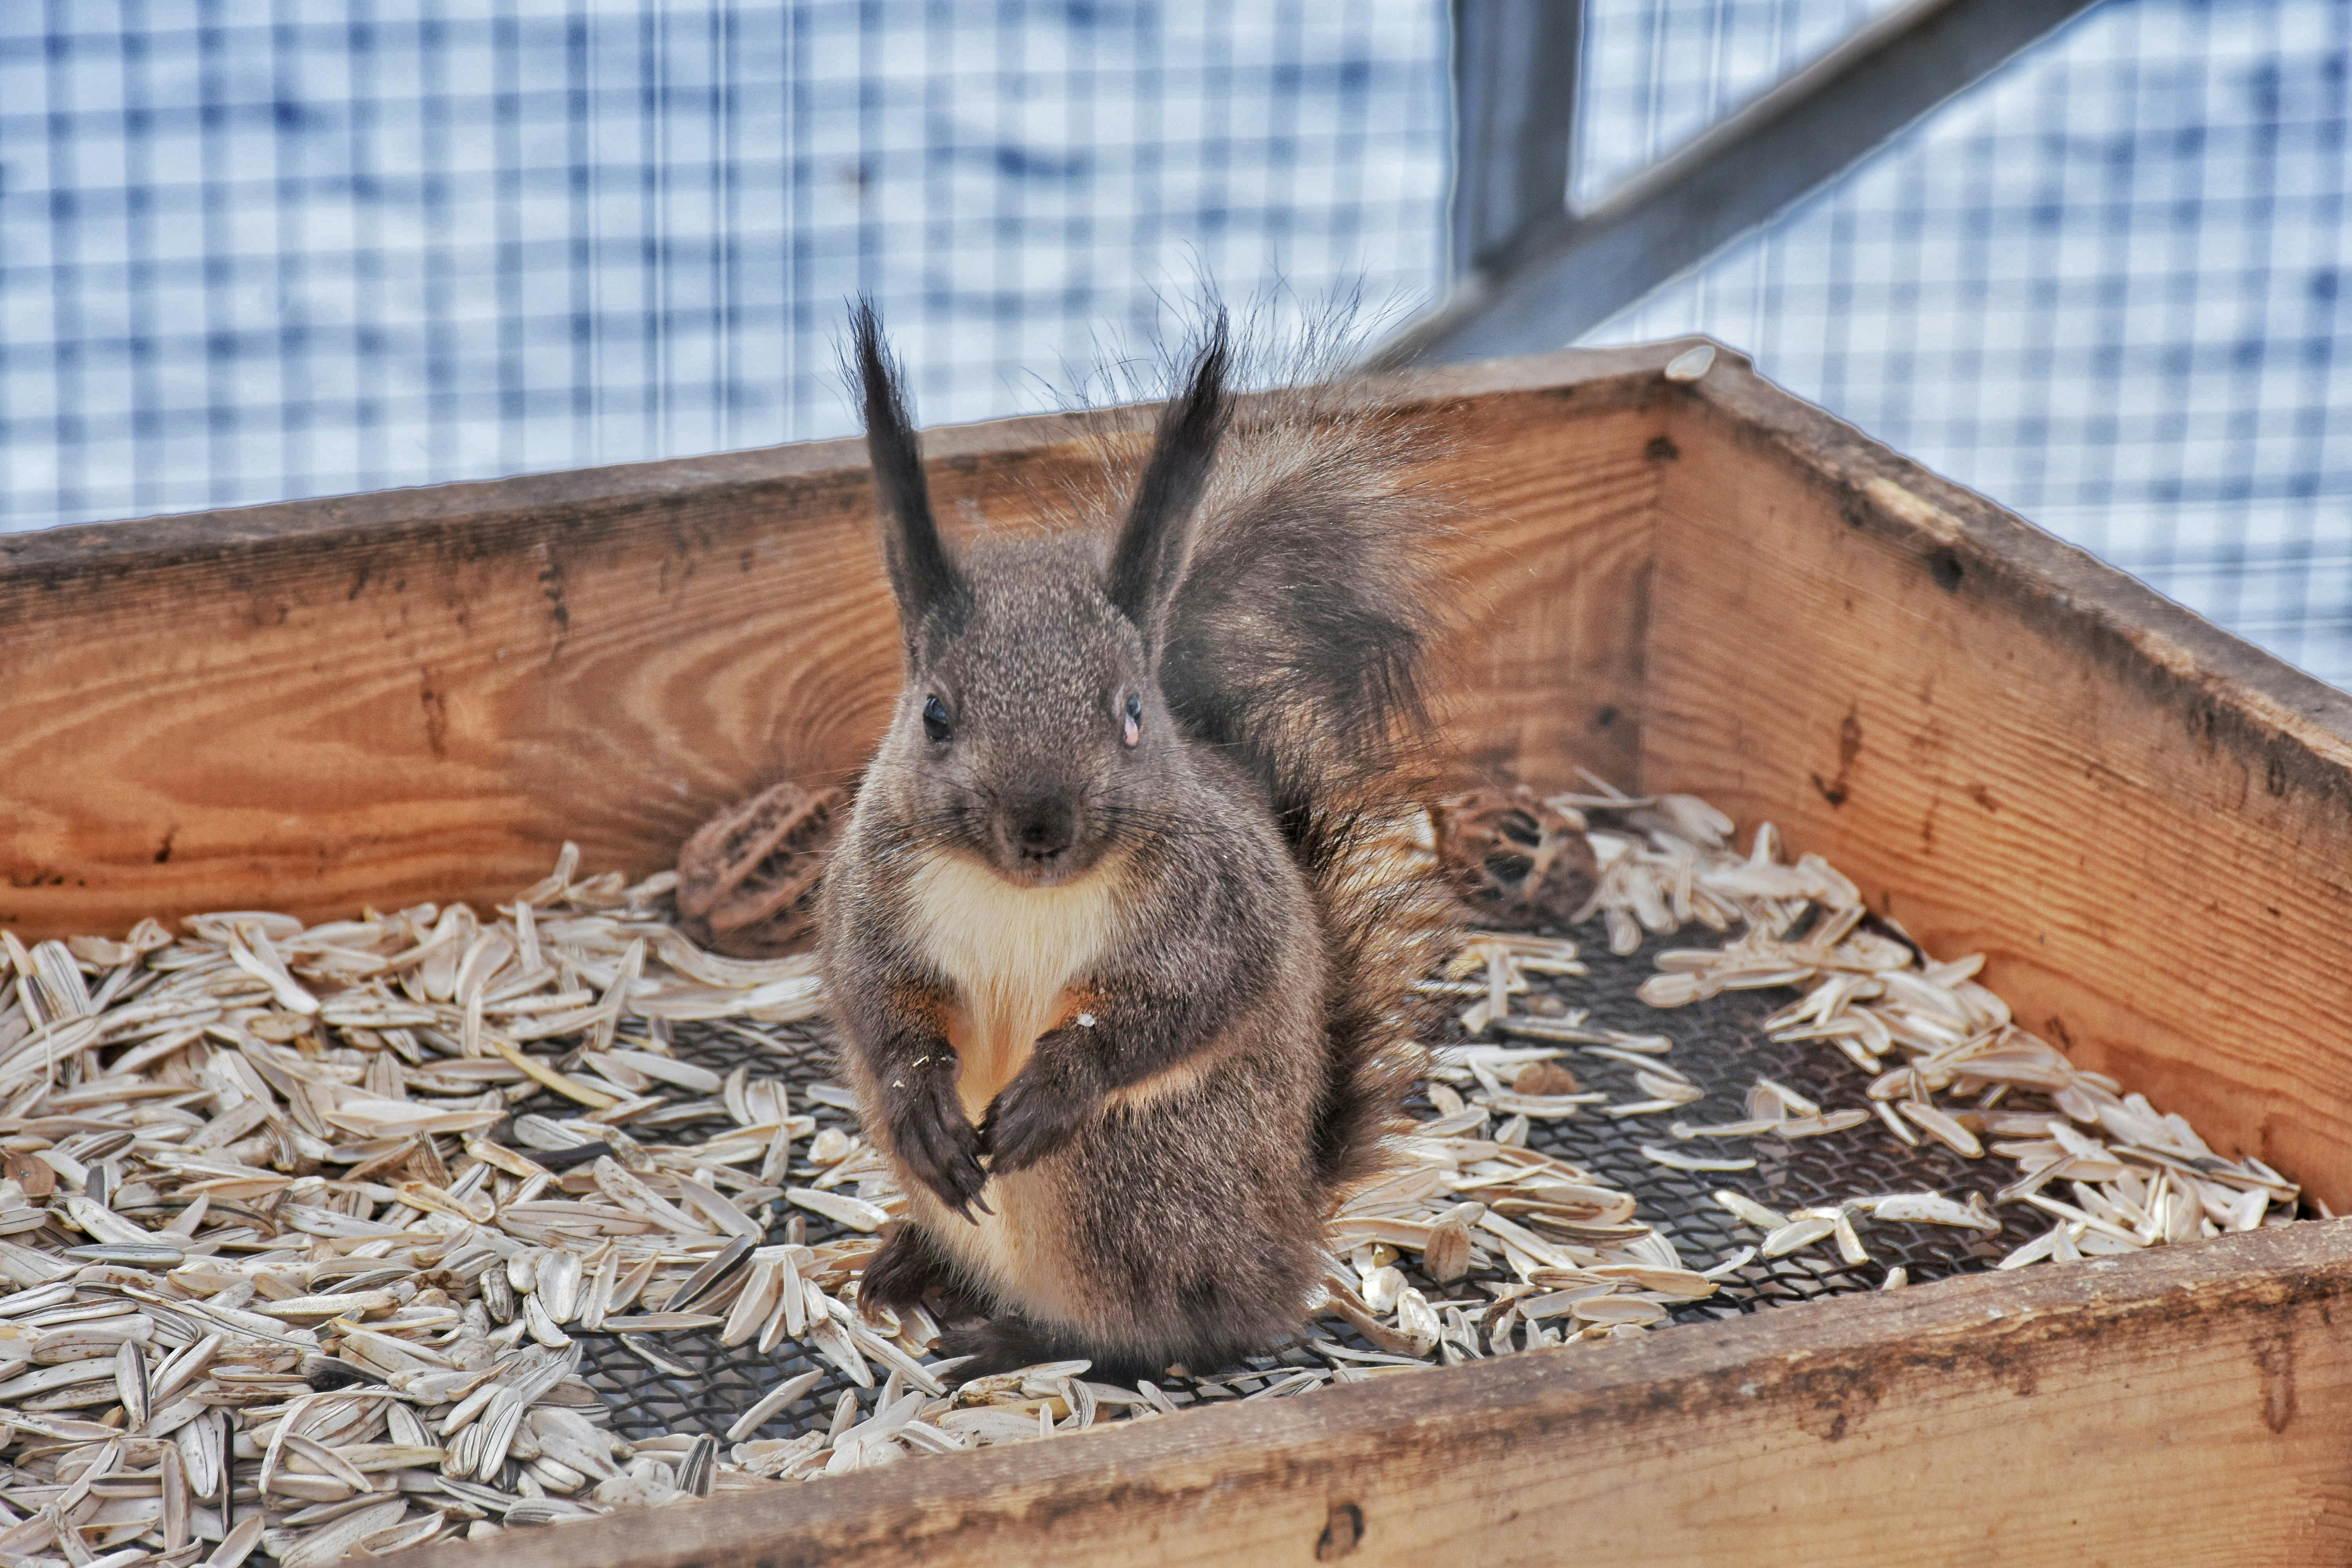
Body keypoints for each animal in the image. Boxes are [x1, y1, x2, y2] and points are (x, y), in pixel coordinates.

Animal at [823, 301, 1449, 1382]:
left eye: (1131, 710)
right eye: (935, 714)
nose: (1041, 827)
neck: (1021, 897)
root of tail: (1288, 1239)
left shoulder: (1220, 907)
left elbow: (1189, 1001)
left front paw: (1060, 1079)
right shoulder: (874, 889)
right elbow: (875, 994)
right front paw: (920, 1093)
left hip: (1124, 1175)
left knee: (1176, 1329)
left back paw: (1030, 1338)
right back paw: (913, 1260)